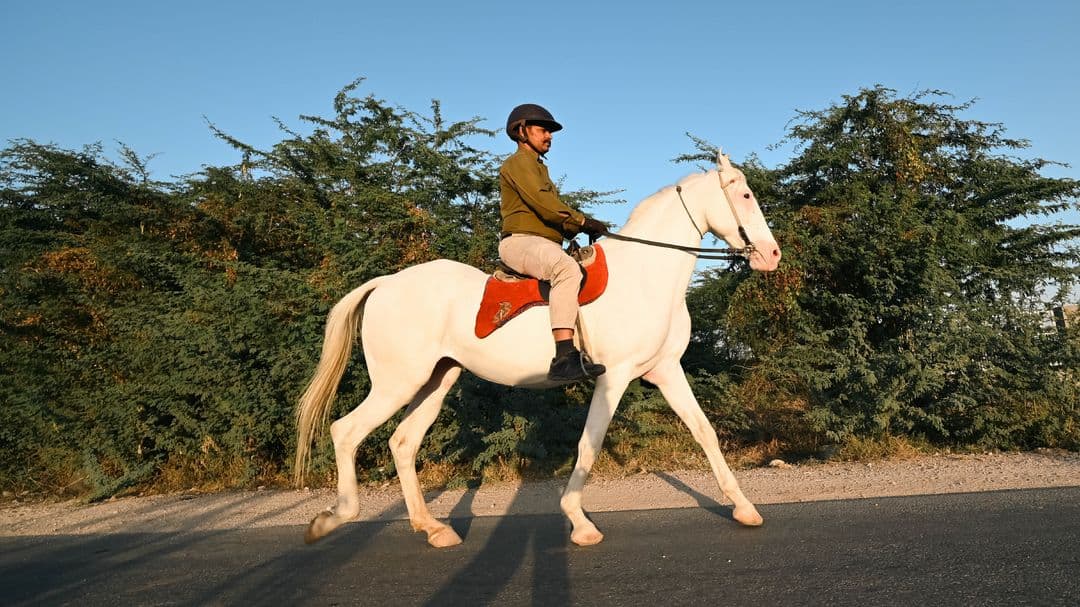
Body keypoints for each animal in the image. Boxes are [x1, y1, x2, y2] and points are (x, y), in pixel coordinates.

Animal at [294, 151, 782, 548]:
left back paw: (432, 529)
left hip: (436, 380)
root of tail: (386, 283)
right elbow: (589, 444)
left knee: (402, 443)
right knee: (346, 431)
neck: (645, 275)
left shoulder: (665, 370)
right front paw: (579, 523)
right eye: (744, 193)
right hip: (398, 383)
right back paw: (331, 519)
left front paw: (744, 509)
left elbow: (705, 432)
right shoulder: (614, 378)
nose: (772, 255)